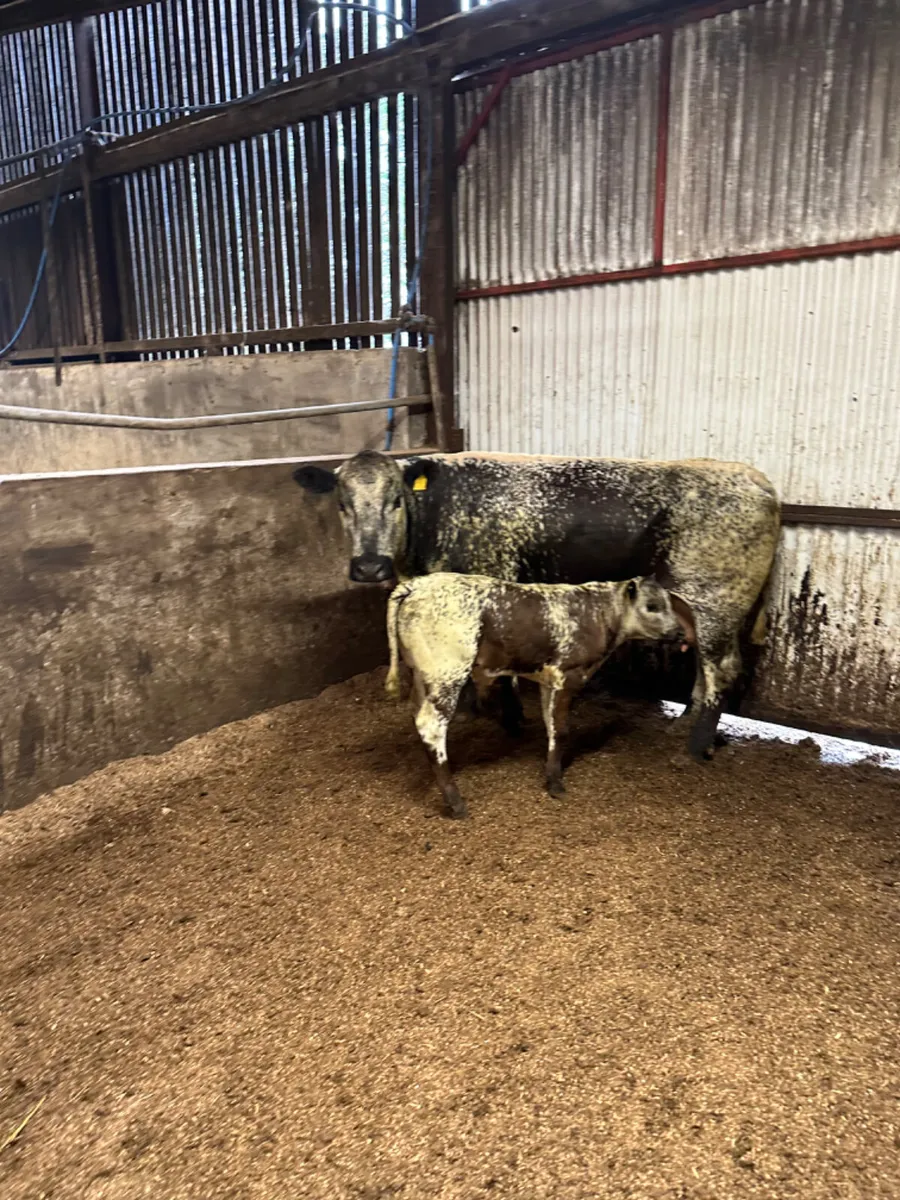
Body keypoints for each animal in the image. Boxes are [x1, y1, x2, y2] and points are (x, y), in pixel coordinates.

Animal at [293, 450, 780, 762]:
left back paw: (693, 750)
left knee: (722, 671)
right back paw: (687, 728)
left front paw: (507, 719)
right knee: (704, 671)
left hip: (715, 600)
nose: (369, 565)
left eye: (396, 500)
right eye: (342, 504)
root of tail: (754, 478)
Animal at [385, 573, 688, 818]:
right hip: (447, 674)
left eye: (669, 604)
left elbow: (551, 726)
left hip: (422, 677)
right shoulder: (568, 675)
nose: (679, 633)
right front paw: (556, 783)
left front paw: (551, 775)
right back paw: (455, 801)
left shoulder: (548, 681)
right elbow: (562, 730)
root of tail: (417, 584)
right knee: (431, 726)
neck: (599, 612)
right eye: (652, 606)